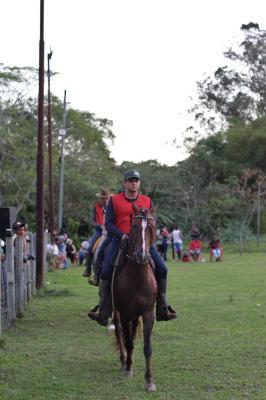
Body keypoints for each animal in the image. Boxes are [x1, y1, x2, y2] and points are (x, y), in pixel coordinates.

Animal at [112, 206, 158, 390]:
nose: (142, 255)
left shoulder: (147, 313)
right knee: (119, 332)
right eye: (134, 228)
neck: (138, 277)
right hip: (117, 311)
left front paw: (149, 381)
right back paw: (124, 361)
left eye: (151, 228)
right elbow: (128, 341)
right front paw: (128, 369)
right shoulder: (125, 312)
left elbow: (147, 347)